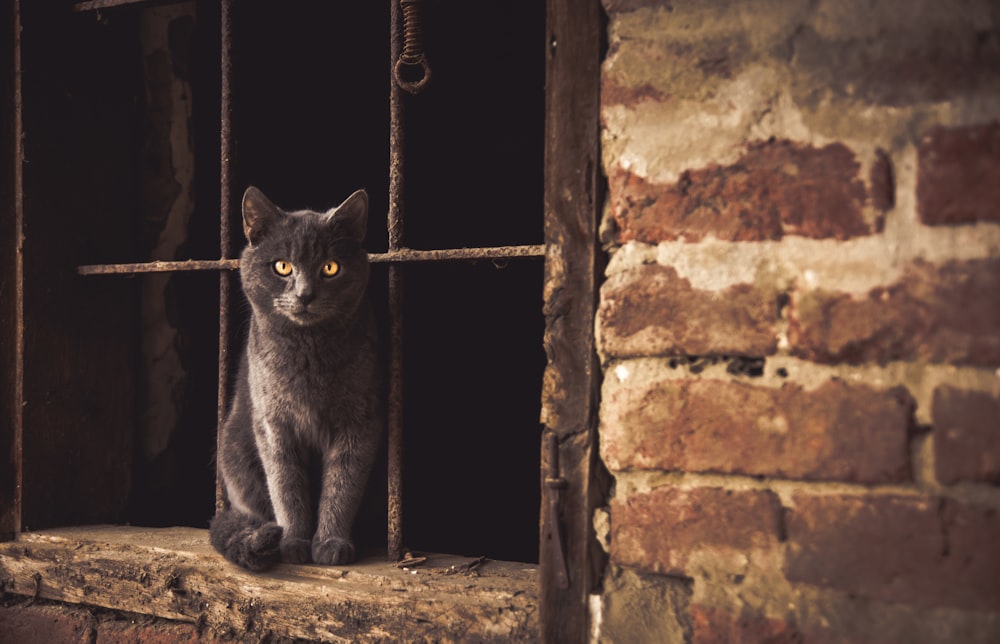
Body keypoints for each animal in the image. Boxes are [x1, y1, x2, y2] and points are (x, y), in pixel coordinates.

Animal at [209, 187, 380, 572]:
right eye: (282, 266)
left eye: (330, 267)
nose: (304, 294)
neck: (308, 352)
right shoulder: (273, 425)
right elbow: (286, 486)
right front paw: (294, 543)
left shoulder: (359, 422)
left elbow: (342, 484)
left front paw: (331, 543)